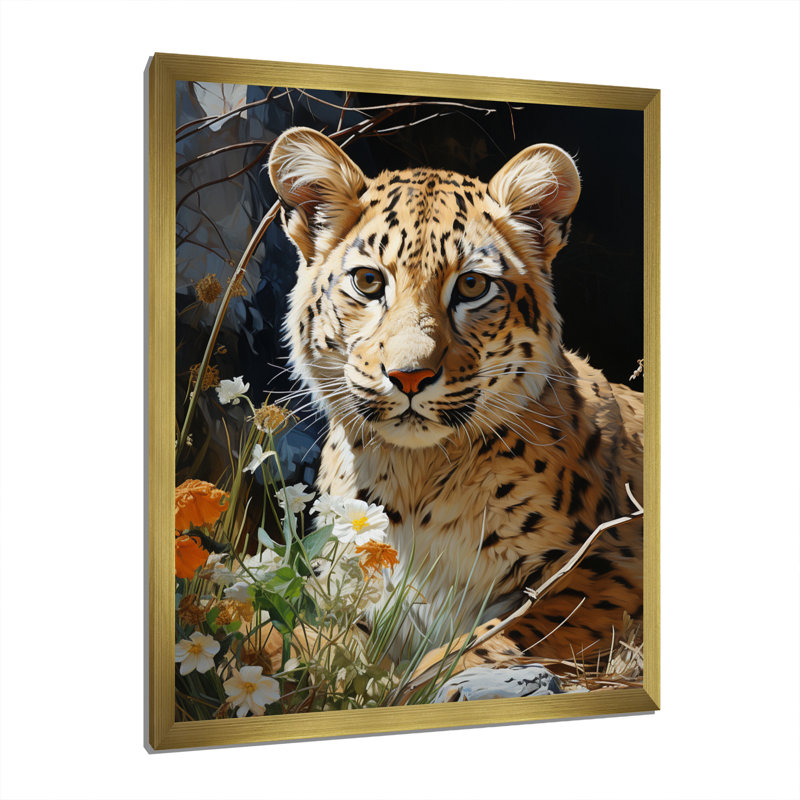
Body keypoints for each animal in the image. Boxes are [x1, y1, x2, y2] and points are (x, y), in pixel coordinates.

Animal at [267, 126, 644, 674]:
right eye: (368, 281)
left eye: (471, 284)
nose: (409, 376)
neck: (412, 478)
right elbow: (300, 634)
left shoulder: (610, 569)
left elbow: (483, 643)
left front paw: (413, 680)